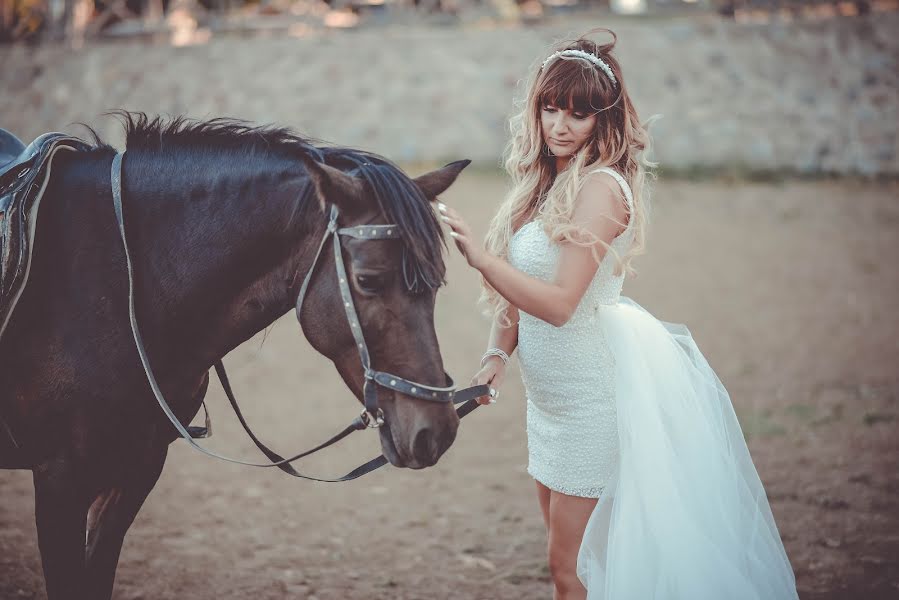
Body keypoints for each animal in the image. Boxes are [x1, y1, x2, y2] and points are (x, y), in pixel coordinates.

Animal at [0, 113, 474, 600]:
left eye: (437, 281)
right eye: (368, 279)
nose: (436, 431)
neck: (118, 281)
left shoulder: (136, 468)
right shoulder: (60, 479)